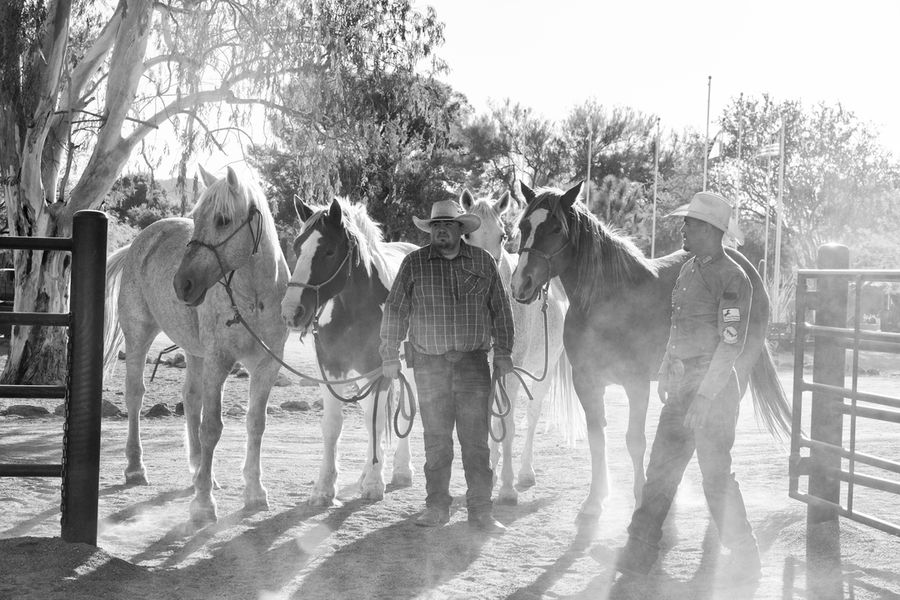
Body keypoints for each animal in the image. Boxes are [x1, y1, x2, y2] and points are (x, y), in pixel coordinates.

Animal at [103, 165, 290, 524]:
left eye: (222, 220)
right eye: (196, 217)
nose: (182, 284)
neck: (254, 298)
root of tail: (139, 242)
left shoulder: (267, 365)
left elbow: (255, 423)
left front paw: (255, 492)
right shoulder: (218, 361)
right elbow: (212, 427)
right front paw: (203, 504)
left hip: (194, 352)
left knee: (190, 399)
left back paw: (199, 471)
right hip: (139, 335)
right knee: (135, 395)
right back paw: (136, 467)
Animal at [282, 198, 418, 506]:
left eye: (329, 251)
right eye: (297, 247)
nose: (291, 311)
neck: (355, 309)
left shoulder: (380, 371)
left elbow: (376, 421)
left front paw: (375, 484)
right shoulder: (332, 368)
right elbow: (333, 425)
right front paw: (324, 488)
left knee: (403, 414)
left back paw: (401, 470)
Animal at [458, 190, 584, 504]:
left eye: (503, 236)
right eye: (466, 236)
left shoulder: (510, 373)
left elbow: (509, 424)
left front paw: (506, 488)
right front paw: (485, 477)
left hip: (542, 372)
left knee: (531, 416)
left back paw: (525, 473)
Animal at [510, 179, 792, 520]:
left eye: (555, 228)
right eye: (524, 226)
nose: (521, 284)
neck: (607, 300)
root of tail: (748, 269)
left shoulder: (636, 384)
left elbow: (635, 441)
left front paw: (639, 496)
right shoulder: (586, 383)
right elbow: (597, 438)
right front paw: (595, 499)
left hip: (734, 370)